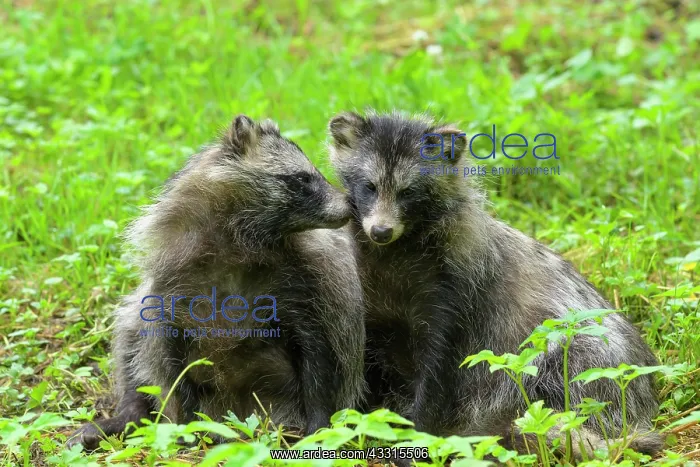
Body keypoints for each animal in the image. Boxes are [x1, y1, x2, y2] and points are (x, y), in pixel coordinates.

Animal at [68, 115, 365, 449]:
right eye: (302, 178)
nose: (350, 204)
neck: (241, 241)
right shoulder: (174, 285)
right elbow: (169, 362)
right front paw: (181, 429)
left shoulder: (307, 286)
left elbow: (318, 356)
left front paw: (319, 425)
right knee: (131, 336)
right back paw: (128, 413)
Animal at [328, 110, 662, 458]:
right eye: (369, 186)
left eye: (408, 192)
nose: (380, 231)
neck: (394, 252)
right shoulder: (365, 288)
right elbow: (364, 357)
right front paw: (356, 420)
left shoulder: (454, 288)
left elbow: (439, 369)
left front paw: (419, 437)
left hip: (585, 356)